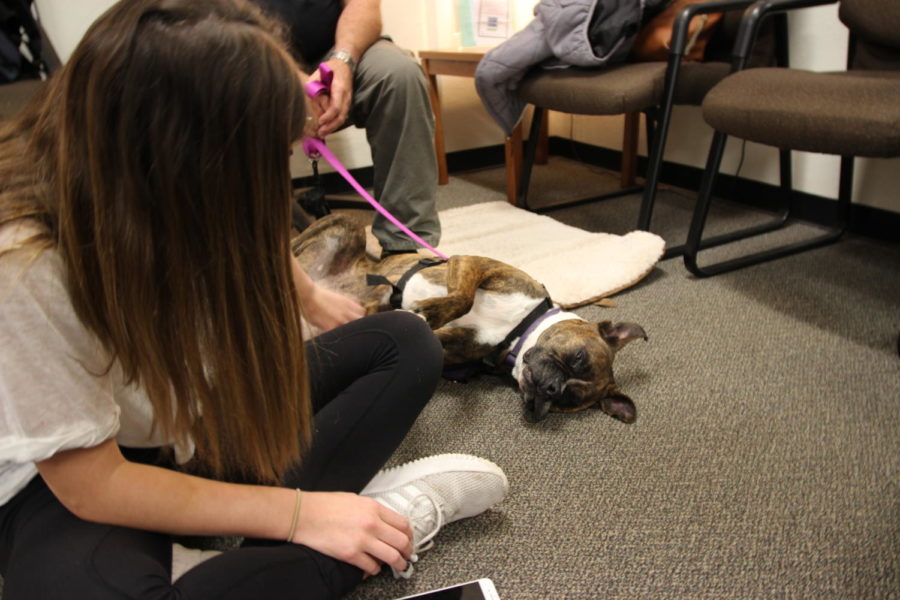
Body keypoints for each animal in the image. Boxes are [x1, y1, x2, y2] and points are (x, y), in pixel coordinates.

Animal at [296, 213, 648, 424]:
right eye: (577, 358)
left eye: (568, 397)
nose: (549, 389)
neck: (518, 328)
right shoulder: (475, 264)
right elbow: (462, 298)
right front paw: (432, 310)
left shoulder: (452, 344)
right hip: (345, 223)